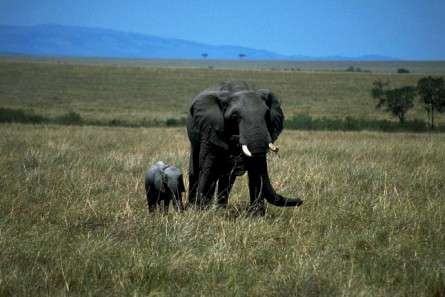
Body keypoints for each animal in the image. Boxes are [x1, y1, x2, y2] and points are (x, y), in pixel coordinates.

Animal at [186, 79, 304, 213]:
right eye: (234, 117)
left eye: (266, 114)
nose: (300, 200)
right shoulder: (211, 128)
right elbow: (208, 167)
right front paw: (201, 211)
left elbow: (255, 171)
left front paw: (257, 215)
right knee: (196, 169)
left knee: (227, 177)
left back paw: (221, 210)